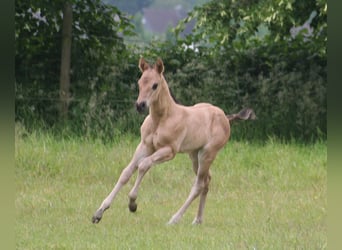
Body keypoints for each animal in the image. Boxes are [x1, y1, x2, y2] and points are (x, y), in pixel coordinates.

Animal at [92, 58, 255, 225]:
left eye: (155, 85)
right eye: (139, 82)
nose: (140, 105)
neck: (161, 119)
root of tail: (226, 118)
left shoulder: (169, 150)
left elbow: (143, 165)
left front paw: (132, 203)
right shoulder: (144, 146)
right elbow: (126, 172)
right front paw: (99, 212)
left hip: (207, 153)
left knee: (198, 185)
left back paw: (174, 219)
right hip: (194, 154)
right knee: (206, 180)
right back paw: (198, 220)